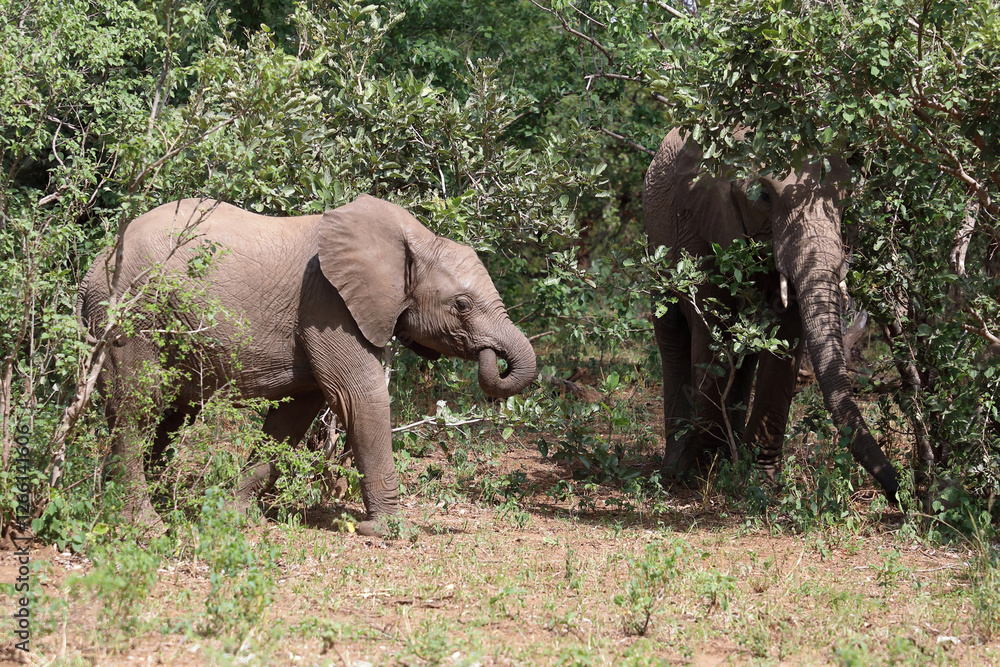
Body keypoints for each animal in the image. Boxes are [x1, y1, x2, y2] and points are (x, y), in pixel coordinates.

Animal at [79, 195, 536, 535]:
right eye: (462, 305)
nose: (493, 359)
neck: (413, 238)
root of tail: (92, 269)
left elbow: (293, 416)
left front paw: (233, 516)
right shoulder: (327, 303)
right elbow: (359, 395)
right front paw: (388, 531)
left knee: (173, 412)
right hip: (132, 316)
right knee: (138, 406)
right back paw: (144, 527)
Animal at [643, 128, 899, 502]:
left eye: (845, 199)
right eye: (763, 196)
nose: (901, 492)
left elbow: (787, 332)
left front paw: (759, 483)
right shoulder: (699, 222)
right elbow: (713, 323)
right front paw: (699, 474)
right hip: (655, 240)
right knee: (672, 332)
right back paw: (678, 466)